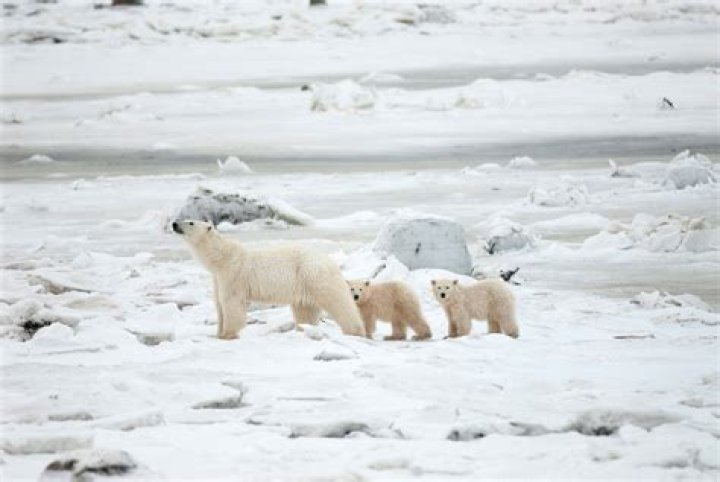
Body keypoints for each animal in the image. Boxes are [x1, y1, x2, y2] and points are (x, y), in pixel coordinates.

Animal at [172, 219, 365, 339]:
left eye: (190, 222)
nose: (174, 223)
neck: (222, 258)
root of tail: (330, 260)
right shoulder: (218, 278)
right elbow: (219, 304)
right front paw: (218, 333)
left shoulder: (233, 274)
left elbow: (231, 304)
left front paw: (228, 334)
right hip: (304, 285)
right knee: (304, 310)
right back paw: (304, 329)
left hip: (314, 276)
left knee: (338, 302)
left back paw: (355, 331)